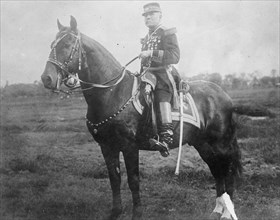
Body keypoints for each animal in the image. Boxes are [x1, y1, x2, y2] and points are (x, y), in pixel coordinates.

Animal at [40, 15, 249, 220]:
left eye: (67, 44)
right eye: (51, 44)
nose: (46, 78)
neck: (113, 92)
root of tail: (225, 95)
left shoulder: (129, 146)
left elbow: (133, 180)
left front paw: (137, 214)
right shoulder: (107, 146)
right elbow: (114, 179)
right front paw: (115, 212)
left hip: (220, 144)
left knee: (228, 171)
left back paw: (226, 213)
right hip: (203, 144)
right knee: (217, 171)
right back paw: (217, 209)